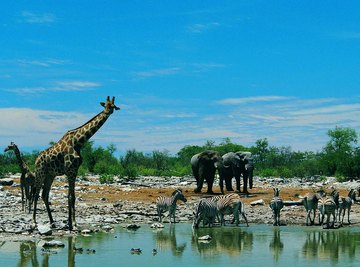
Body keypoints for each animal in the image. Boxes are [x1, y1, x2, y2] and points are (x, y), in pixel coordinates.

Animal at [32, 96, 119, 230]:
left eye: (113, 106)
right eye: (105, 105)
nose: (108, 112)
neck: (78, 142)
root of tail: (36, 159)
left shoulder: (74, 171)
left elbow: (72, 197)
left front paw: (71, 222)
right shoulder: (70, 171)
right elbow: (70, 197)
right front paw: (72, 223)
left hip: (50, 175)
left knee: (44, 195)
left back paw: (52, 222)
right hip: (40, 172)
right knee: (36, 194)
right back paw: (34, 221)